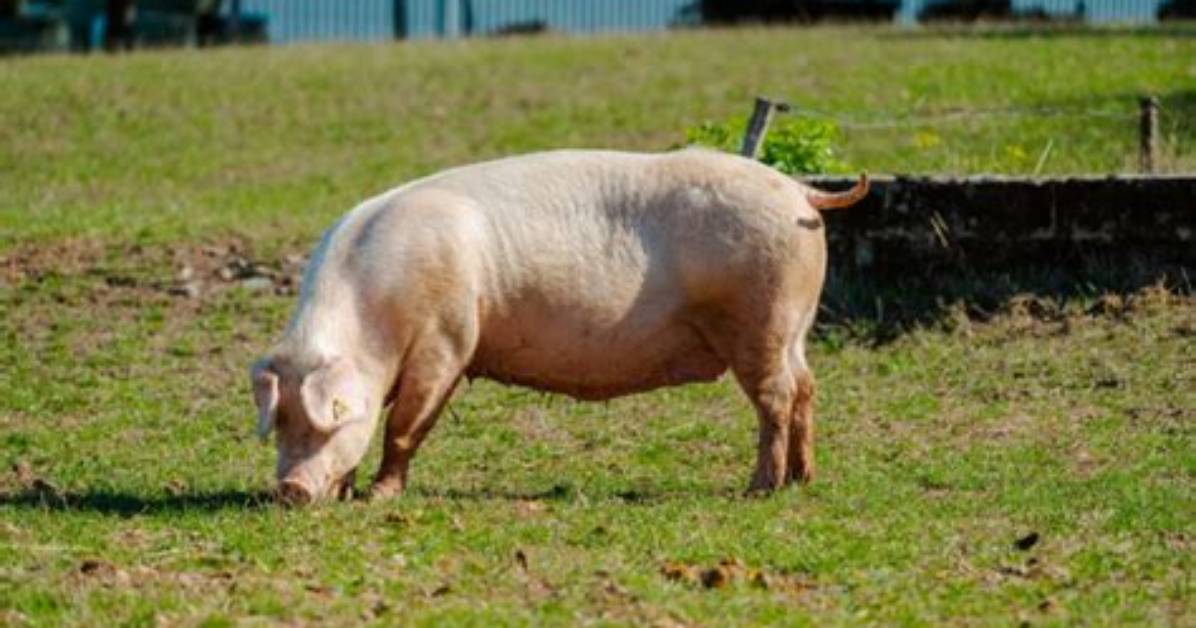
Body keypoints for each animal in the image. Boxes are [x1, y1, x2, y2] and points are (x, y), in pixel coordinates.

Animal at [250, 148, 868, 504]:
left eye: (327, 416)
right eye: (278, 421)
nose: (289, 490)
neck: (374, 319)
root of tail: (799, 190)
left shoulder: (446, 342)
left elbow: (405, 426)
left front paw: (380, 498)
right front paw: (350, 492)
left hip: (760, 319)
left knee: (777, 398)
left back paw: (758, 489)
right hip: (793, 326)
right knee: (807, 388)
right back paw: (803, 481)